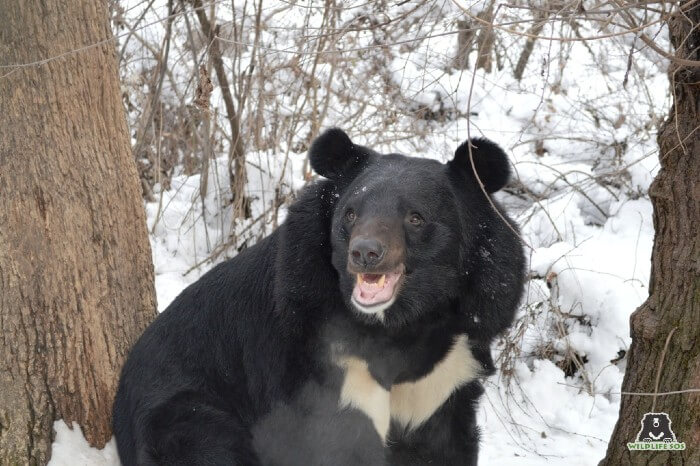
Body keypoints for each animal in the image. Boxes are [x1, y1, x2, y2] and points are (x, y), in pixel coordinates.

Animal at [112, 128, 524, 466]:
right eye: (350, 214)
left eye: (416, 217)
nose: (365, 252)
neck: (402, 324)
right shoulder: (323, 363)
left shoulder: (449, 376)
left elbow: (444, 447)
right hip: (186, 415)